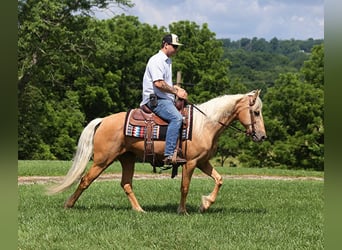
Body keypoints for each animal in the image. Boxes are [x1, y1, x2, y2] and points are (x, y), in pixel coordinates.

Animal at [48, 89, 268, 214]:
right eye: (256, 112)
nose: (262, 136)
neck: (204, 124)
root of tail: (102, 121)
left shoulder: (203, 161)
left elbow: (219, 179)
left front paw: (205, 204)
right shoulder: (190, 162)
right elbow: (185, 187)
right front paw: (183, 211)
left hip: (127, 159)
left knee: (126, 184)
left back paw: (139, 210)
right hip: (103, 160)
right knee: (86, 180)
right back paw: (68, 205)